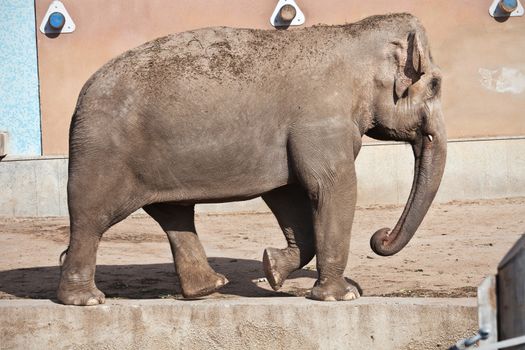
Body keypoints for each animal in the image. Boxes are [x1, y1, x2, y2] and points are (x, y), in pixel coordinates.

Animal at [60, 12, 446, 304]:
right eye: (436, 84)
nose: (381, 237)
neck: (353, 34)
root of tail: (80, 97)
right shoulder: (322, 121)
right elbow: (332, 188)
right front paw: (342, 296)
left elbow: (288, 196)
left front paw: (271, 269)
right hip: (102, 152)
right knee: (92, 216)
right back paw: (86, 299)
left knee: (174, 214)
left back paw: (210, 287)